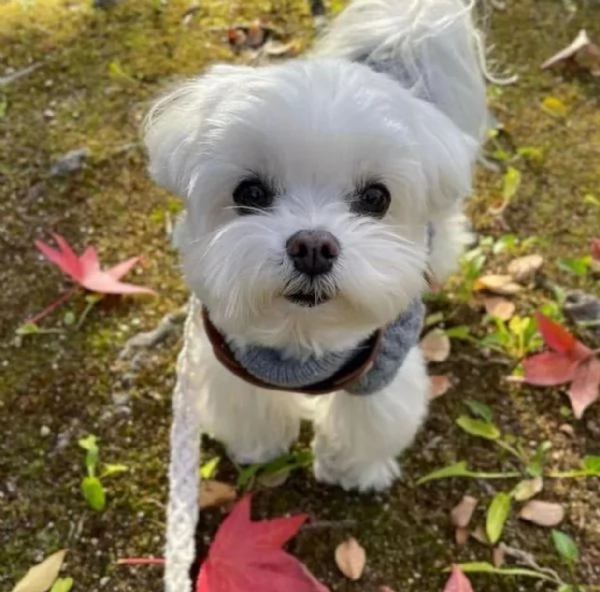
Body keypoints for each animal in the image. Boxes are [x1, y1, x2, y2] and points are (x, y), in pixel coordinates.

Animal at [144, 0, 488, 490]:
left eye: (376, 198)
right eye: (250, 193)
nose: (312, 246)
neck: (301, 332)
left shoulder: (381, 368)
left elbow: (368, 420)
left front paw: (354, 470)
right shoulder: (227, 357)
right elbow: (249, 404)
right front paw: (257, 446)